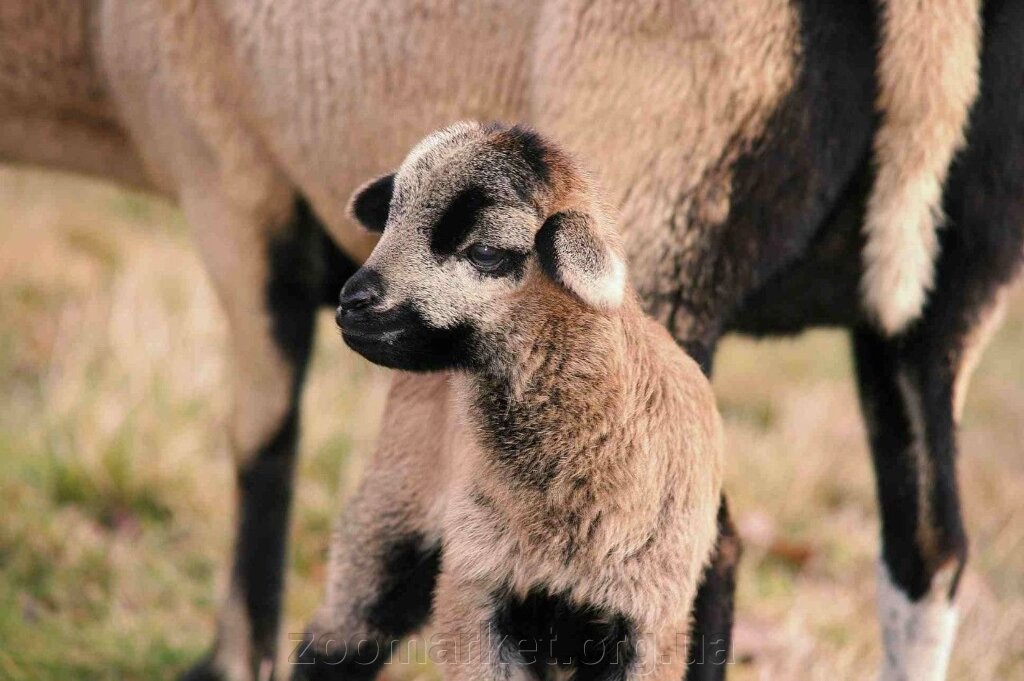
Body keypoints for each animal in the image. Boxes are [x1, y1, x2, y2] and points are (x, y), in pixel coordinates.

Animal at [299, 120, 720, 675]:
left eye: (486, 252)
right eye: (390, 219)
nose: (352, 303)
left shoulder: (651, 620)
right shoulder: (476, 594)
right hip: (391, 509)